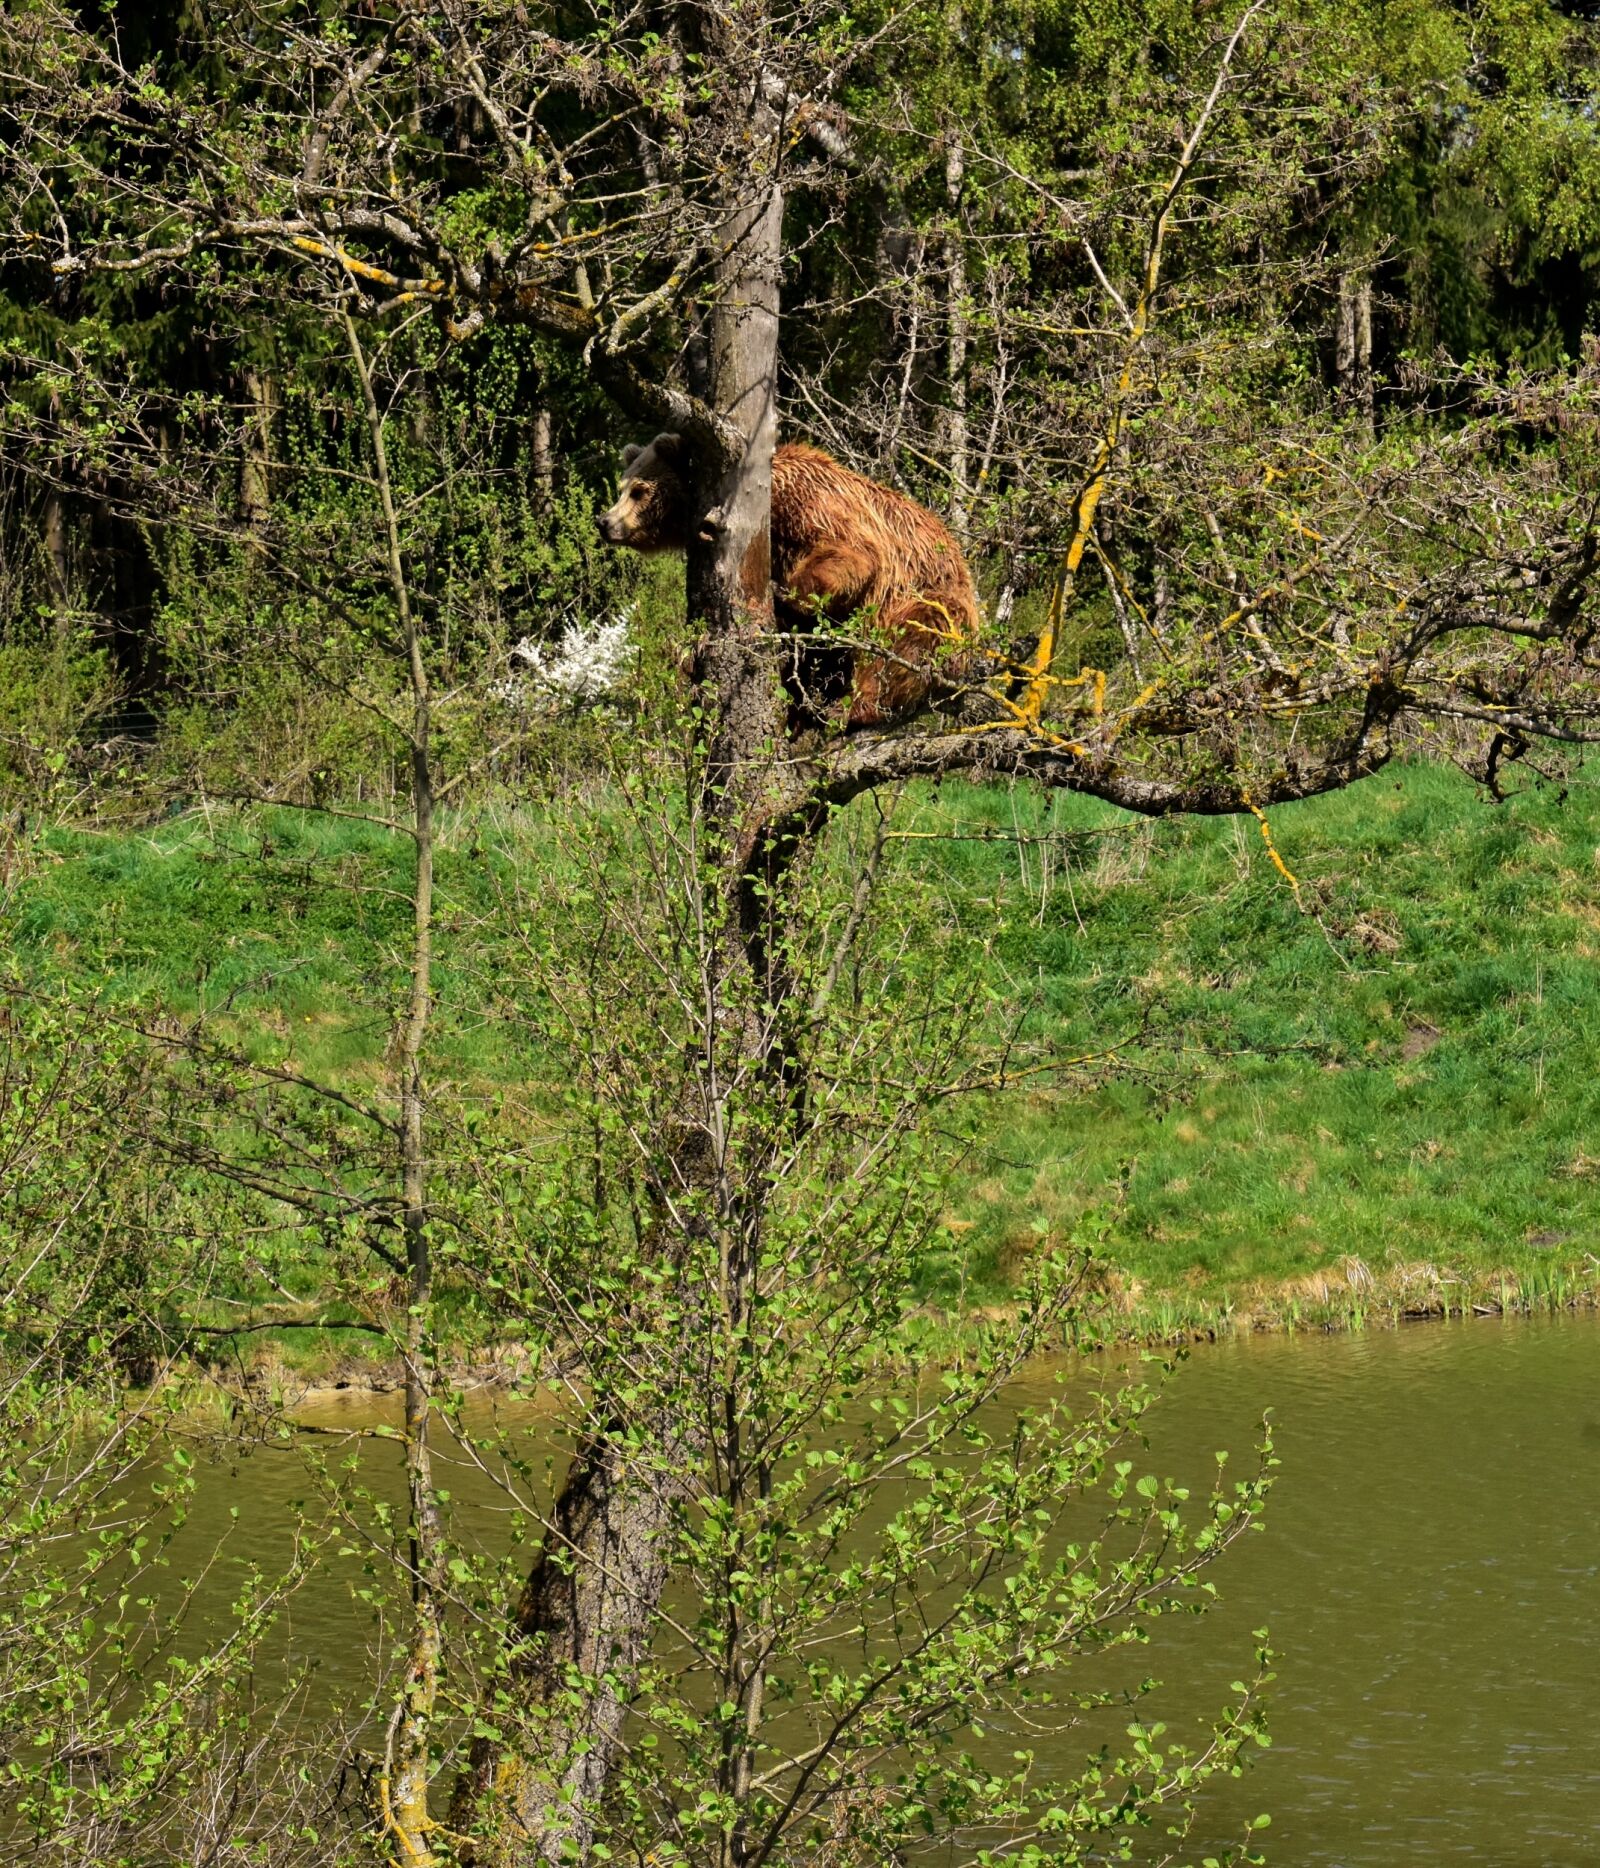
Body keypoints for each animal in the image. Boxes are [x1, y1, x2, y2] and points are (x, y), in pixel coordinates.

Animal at [598, 433, 981, 730]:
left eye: (638, 490)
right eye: (622, 487)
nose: (605, 522)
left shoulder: (815, 507)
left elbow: (851, 556)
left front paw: (782, 592)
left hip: (932, 601)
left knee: (904, 642)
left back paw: (851, 709)